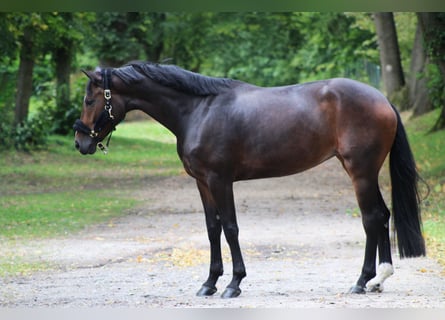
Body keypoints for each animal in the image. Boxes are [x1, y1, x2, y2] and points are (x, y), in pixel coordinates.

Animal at [74, 61, 424, 298]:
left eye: (90, 100)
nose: (81, 143)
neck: (199, 110)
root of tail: (382, 99)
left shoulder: (220, 180)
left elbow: (230, 228)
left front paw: (233, 283)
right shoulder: (202, 182)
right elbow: (212, 229)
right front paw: (209, 283)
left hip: (360, 172)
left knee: (371, 218)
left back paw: (362, 281)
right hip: (367, 173)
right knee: (383, 216)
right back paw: (379, 279)